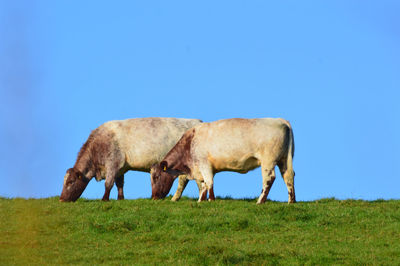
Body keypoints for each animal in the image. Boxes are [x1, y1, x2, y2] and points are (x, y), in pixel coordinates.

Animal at [59, 117, 202, 203]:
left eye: (70, 182)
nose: (61, 199)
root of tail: (197, 122)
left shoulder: (113, 163)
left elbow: (108, 183)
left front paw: (104, 199)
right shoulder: (120, 168)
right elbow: (119, 184)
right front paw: (120, 199)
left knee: (183, 180)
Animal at [150, 118, 294, 204]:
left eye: (156, 177)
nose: (154, 197)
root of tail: (281, 120)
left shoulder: (204, 164)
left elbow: (209, 182)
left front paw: (211, 200)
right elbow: (203, 184)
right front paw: (200, 201)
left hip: (268, 161)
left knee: (269, 178)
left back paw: (260, 201)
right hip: (284, 160)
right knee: (288, 177)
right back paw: (291, 201)